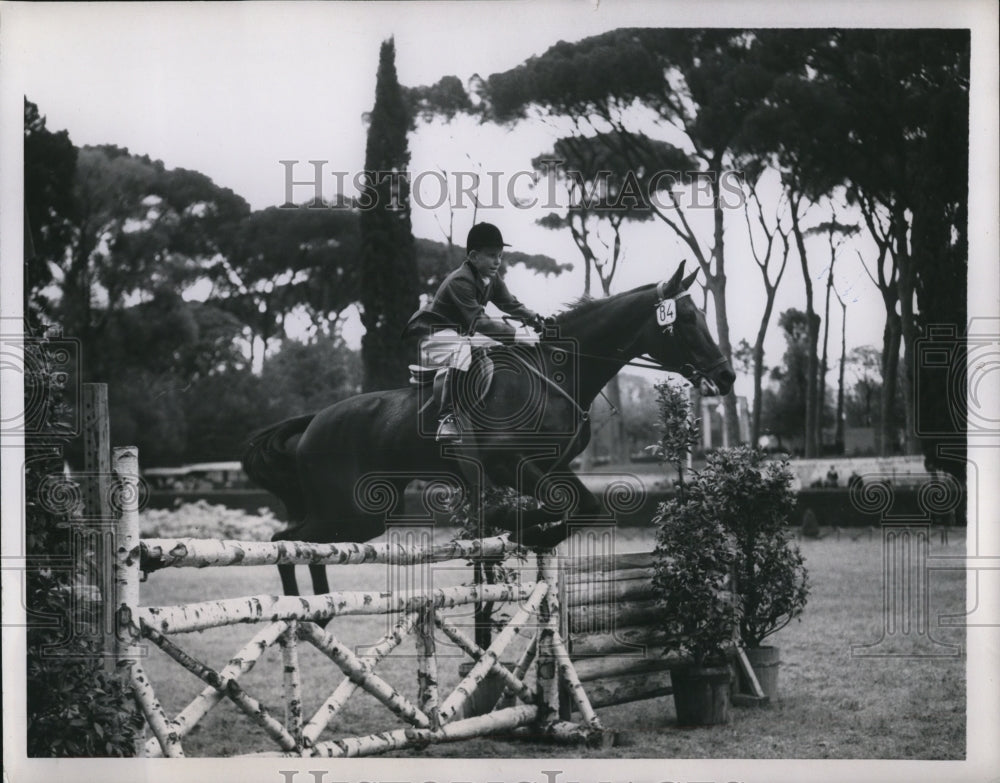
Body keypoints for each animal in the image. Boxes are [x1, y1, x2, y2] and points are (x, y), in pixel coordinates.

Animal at [242, 260, 736, 596]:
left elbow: (587, 507)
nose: (727, 377)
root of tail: (314, 422)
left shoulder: (552, 465)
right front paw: (516, 525)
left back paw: (320, 606)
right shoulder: (507, 462)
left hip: (364, 514)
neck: (559, 371)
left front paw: (526, 530)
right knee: (285, 540)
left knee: (304, 543)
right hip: (351, 509)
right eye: (686, 320)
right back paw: (302, 606)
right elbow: (565, 506)